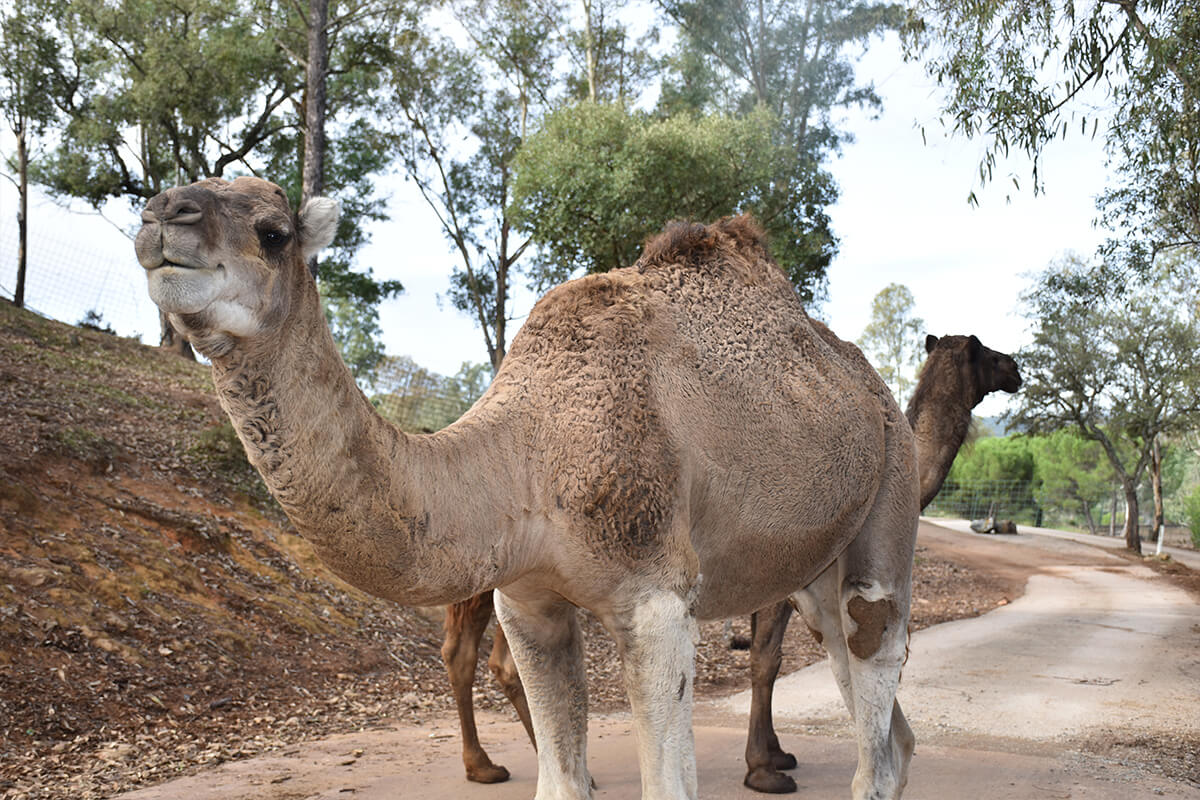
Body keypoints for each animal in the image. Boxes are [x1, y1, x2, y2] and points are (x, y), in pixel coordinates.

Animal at [133, 176, 916, 800]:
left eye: (274, 232)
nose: (164, 212)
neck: (530, 453)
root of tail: (873, 386)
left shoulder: (660, 600)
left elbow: (667, 784)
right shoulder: (527, 599)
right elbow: (561, 781)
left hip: (891, 489)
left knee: (873, 680)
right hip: (812, 568)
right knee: (880, 714)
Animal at [739, 331, 1022, 796]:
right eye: (987, 352)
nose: (1017, 367)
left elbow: (771, 659)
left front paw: (775, 755)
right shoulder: (788, 583)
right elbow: (766, 660)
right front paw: (763, 771)